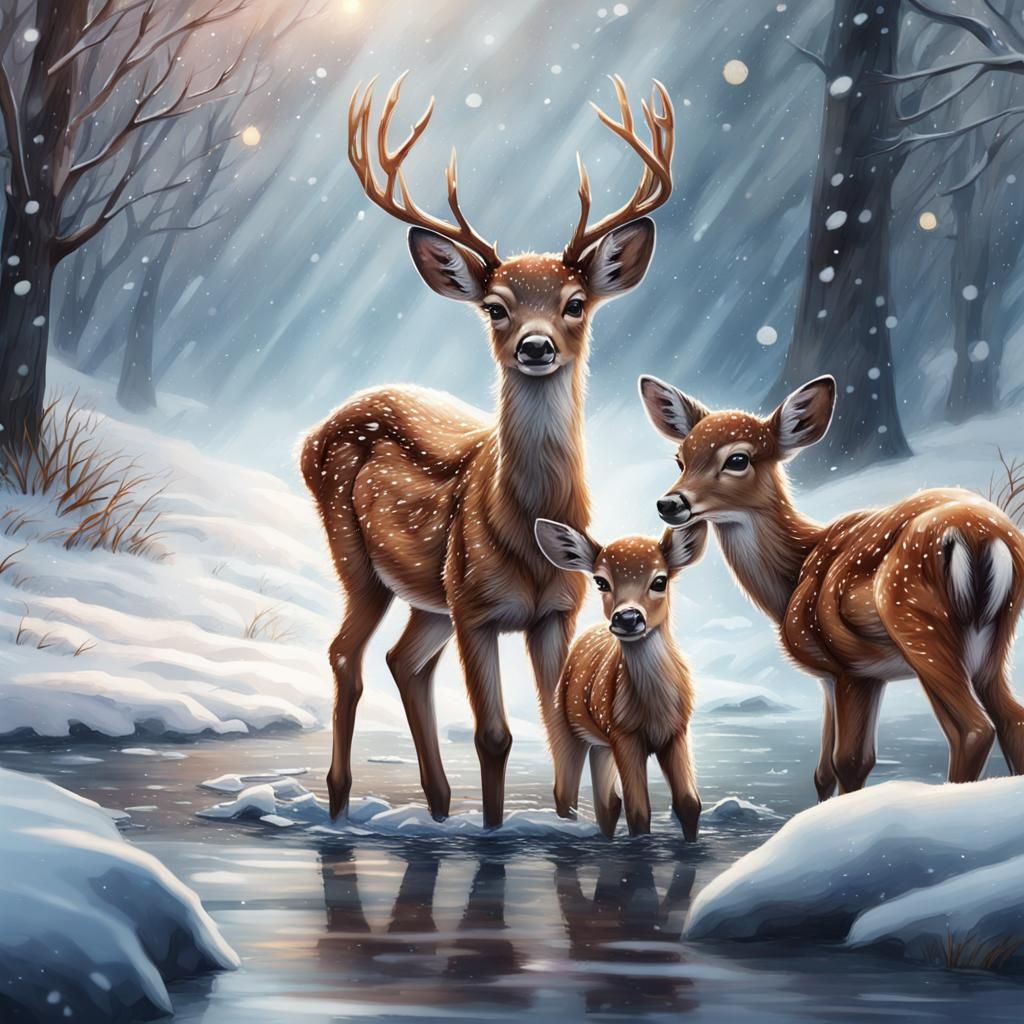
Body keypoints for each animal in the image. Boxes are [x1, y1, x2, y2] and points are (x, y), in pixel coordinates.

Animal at [300, 73, 675, 826]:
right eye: (496, 306)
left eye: (575, 302)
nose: (535, 345)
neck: (524, 536)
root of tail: (308, 439)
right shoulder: (474, 607)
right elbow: (495, 735)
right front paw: (496, 830)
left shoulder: (555, 611)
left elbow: (560, 725)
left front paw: (569, 822)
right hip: (360, 562)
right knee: (346, 656)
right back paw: (340, 801)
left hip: (427, 596)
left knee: (403, 661)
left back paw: (441, 806)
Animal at [534, 519, 707, 839]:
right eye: (601, 581)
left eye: (660, 580)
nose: (627, 618)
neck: (654, 710)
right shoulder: (623, 733)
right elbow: (638, 812)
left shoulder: (677, 731)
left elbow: (689, 804)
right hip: (566, 727)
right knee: (566, 793)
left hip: (602, 745)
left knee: (607, 803)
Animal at [639, 374, 1024, 799]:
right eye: (681, 458)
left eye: (737, 459)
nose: (670, 503)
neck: (794, 576)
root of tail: (980, 536)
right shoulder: (830, 677)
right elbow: (823, 771)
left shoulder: (853, 667)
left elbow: (851, 762)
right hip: (992, 638)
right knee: (1012, 719)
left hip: (917, 624)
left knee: (972, 729)